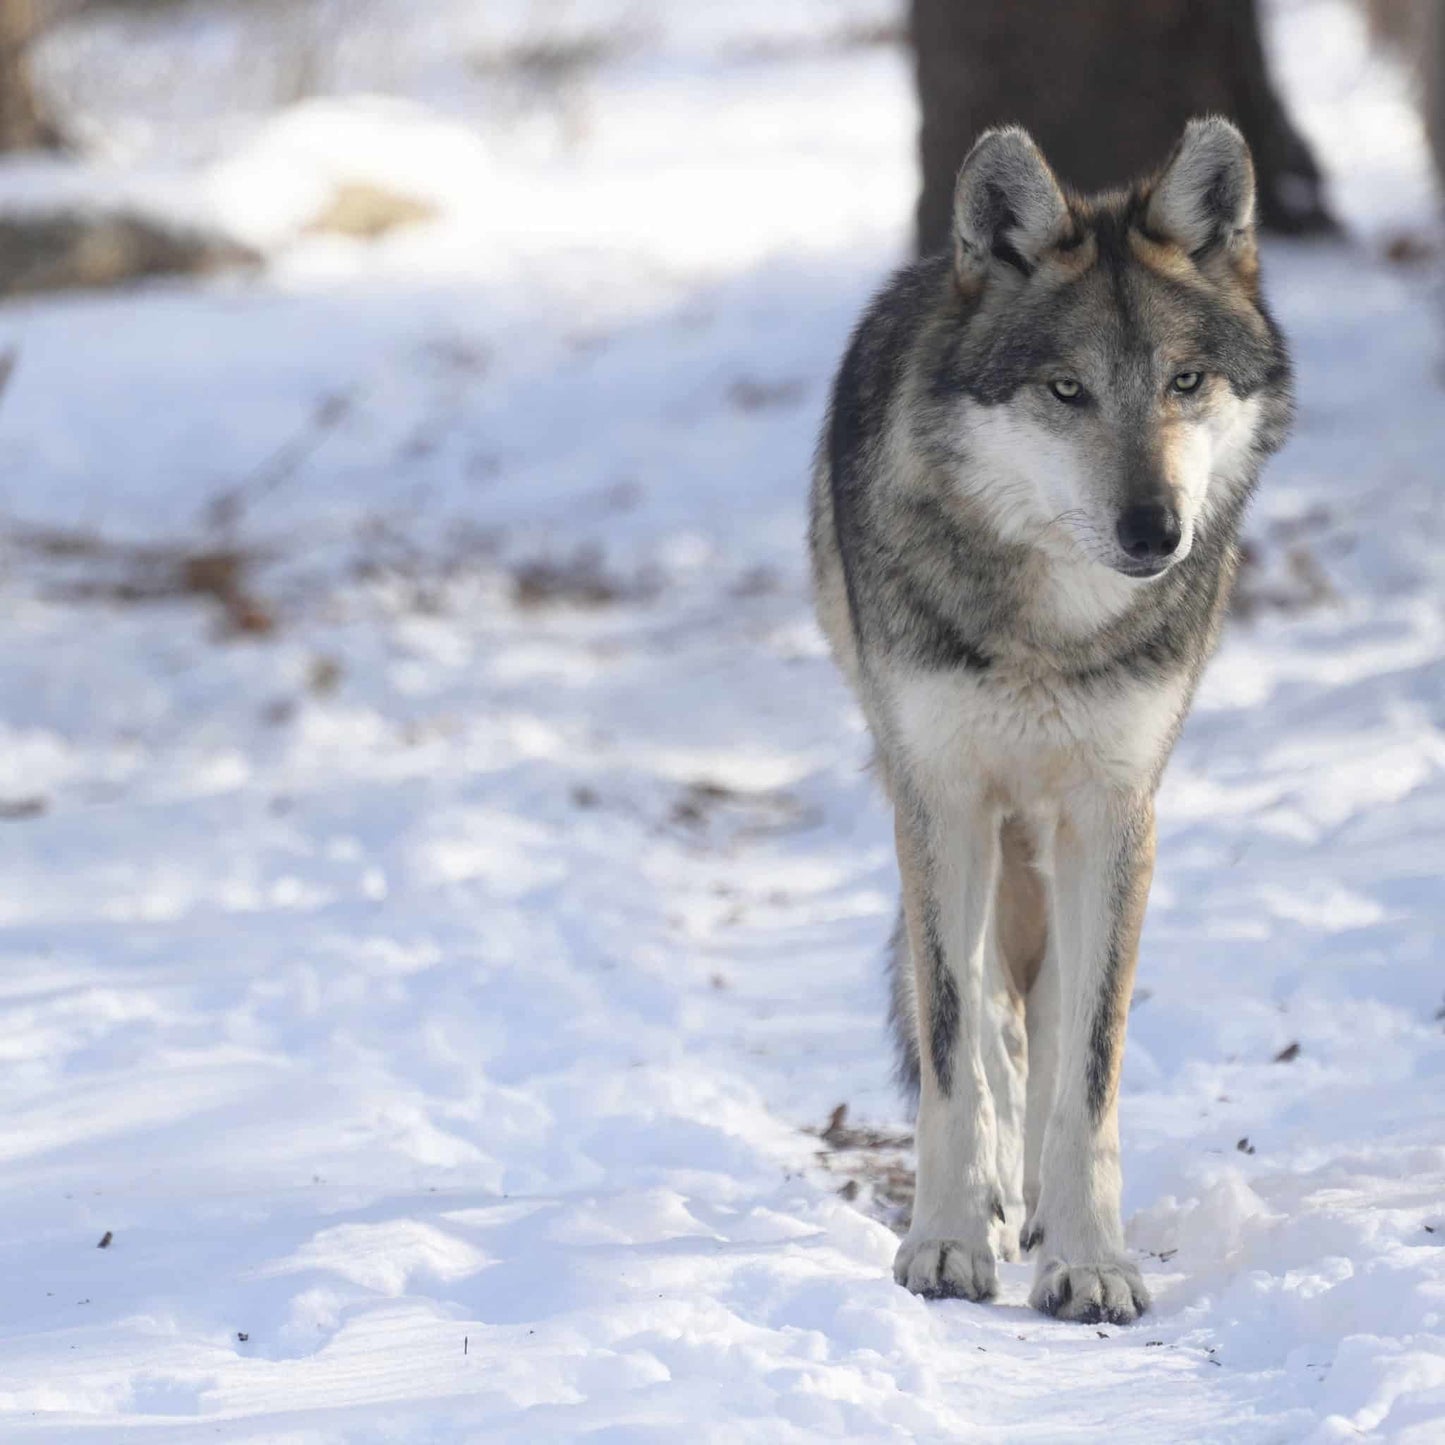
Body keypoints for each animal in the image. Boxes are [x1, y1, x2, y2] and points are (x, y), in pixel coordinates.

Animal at [809, 121, 1294, 1323]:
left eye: (1183, 381)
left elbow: (1091, 1056)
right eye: (1065, 389)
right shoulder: (943, 800)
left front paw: (1087, 1255)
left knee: (1047, 1006)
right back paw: (989, 1195)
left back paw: (1030, 1204)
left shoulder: (1114, 811)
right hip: (957, 811)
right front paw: (943, 1240)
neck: (1051, 631)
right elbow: (952, 1038)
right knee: (988, 1011)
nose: (1154, 530)